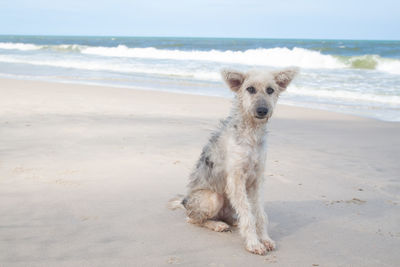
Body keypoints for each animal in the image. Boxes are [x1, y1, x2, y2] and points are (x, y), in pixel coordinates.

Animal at [168, 67, 296, 255]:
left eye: (270, 90)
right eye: (250, 89)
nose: (262, 110)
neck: (251, 135)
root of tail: (185, 202)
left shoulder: (257, 180)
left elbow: (259, 214)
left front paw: (264, 239)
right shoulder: (236, 179)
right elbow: (248, 215)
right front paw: (254, 243)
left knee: (231, 214)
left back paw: (233, 221)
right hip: (214, 197)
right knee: (193, 220)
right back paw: (217, 225)